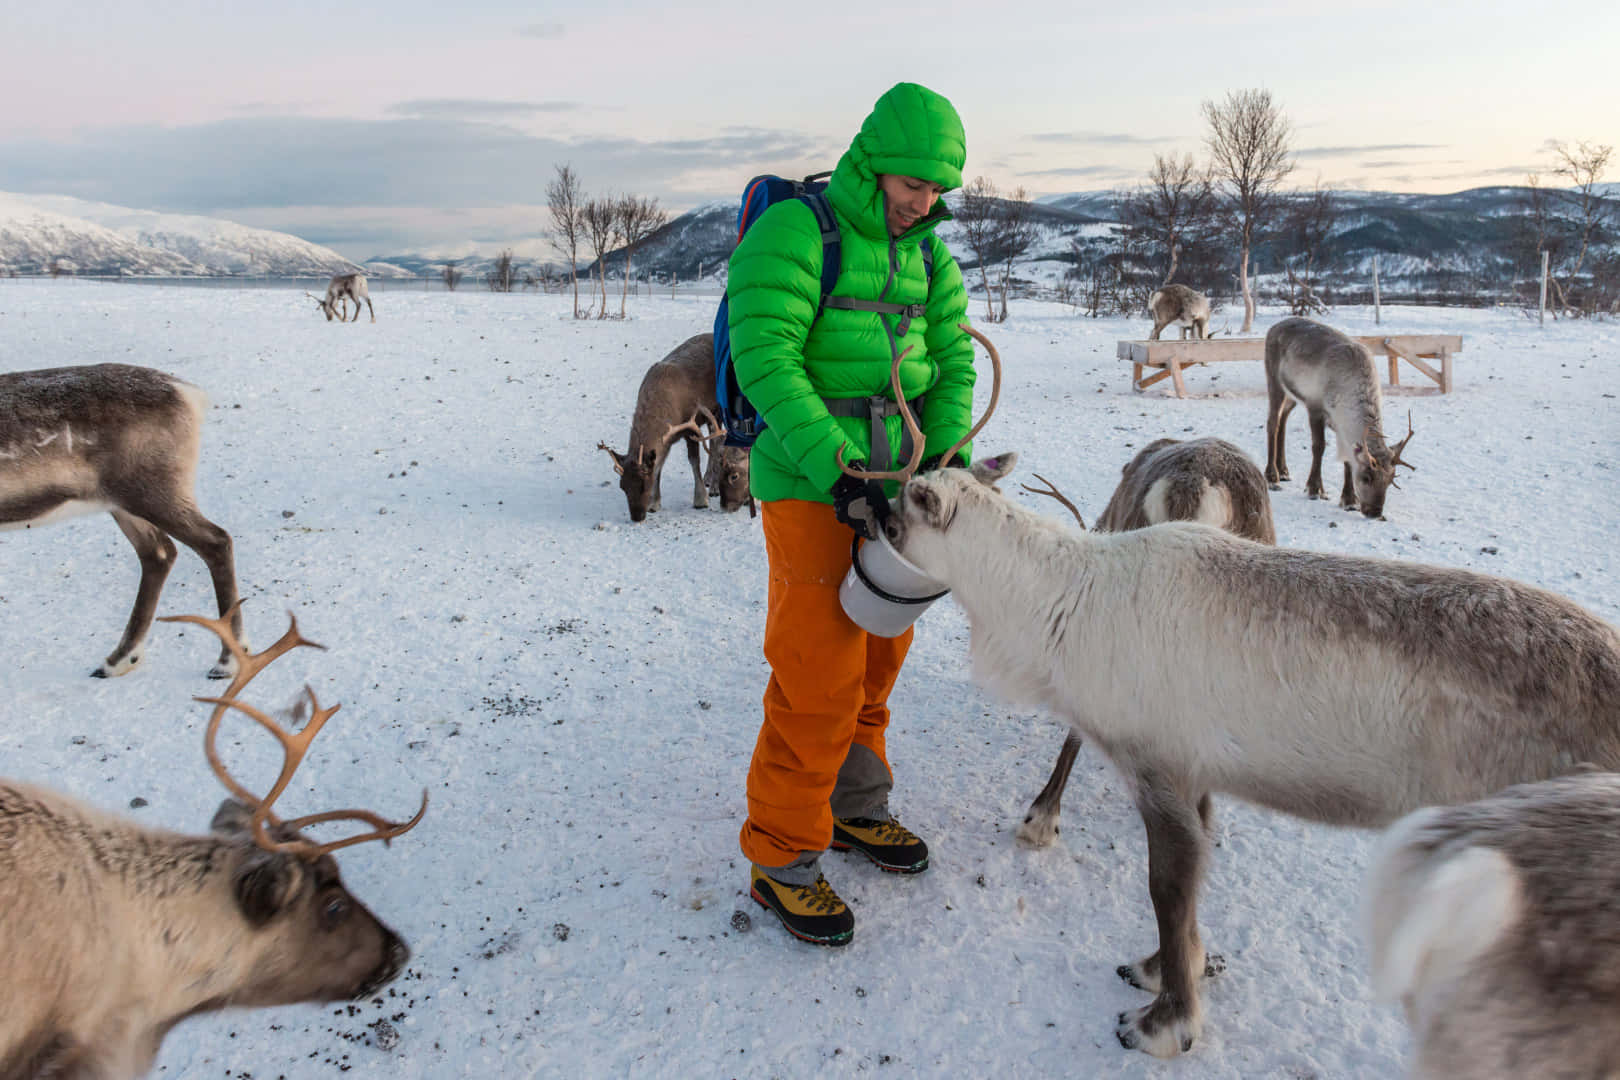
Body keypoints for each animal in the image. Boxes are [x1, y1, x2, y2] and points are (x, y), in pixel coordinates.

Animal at [1, 363, 241, 678]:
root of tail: (187, 392)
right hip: (123, 502)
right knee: (159, 552)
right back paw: (119, 659)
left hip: (154, 492)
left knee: (215, 541)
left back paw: (227, 662)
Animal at [598, 332, 744, 522]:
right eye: (622, 486)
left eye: (644, 484)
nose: (637, 516)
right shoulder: (666, 441)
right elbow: (660, 464)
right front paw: (654, 503)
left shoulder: (690, 426)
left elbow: (693, 460)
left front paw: (700, 499)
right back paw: (709, 478)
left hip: (720, 408)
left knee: (717, 441)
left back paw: (713, 487)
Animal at [1264, 316, 1416, 518]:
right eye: (1366, 477)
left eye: (1390, 480)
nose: (1375, 512)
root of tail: (1275, 326)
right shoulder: (1315, 407)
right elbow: (1319, 447)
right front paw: (1314, 489)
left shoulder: (1340, 424)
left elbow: (1347, 459)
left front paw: (1349, 500)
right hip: (1274, 381)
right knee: (1272, 422)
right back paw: (1272, 477)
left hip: (1292, 395)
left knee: (1283, 419)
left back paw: (1283, 471)